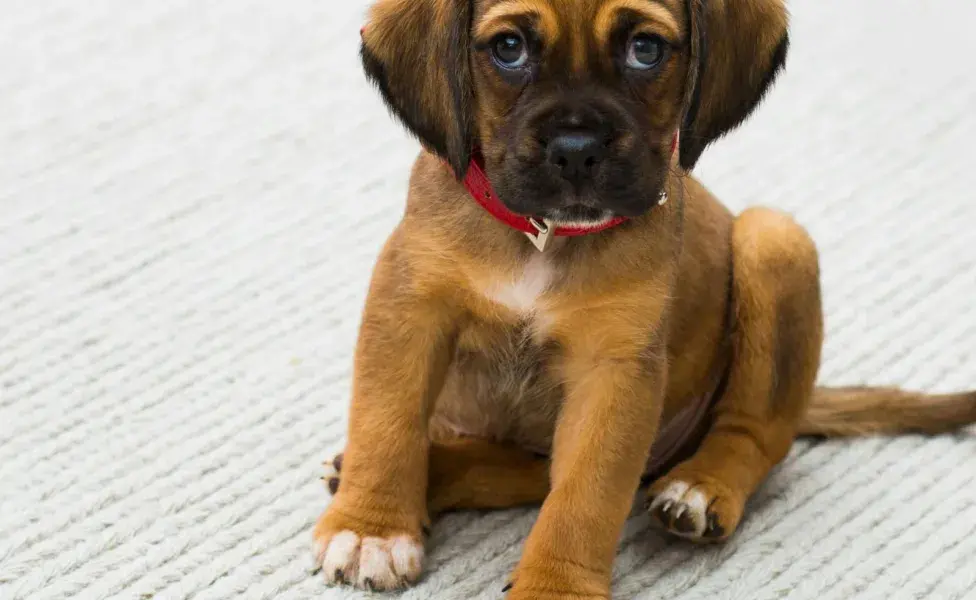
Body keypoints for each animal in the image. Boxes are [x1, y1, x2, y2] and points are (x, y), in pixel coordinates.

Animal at [314, 1, 976, 596]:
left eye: (645, 49)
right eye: (509, 48)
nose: (576, 150)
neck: (543, 238)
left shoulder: (614, 371)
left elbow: (585, 498)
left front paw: (554, 589)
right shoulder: (408, 308)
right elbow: (386, 423)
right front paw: (372, 529)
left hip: (773, 240)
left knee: (755, 434)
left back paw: (702, 487)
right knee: (522, 472)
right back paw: (425, 472)